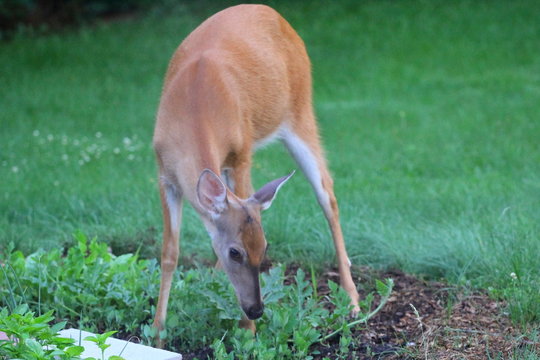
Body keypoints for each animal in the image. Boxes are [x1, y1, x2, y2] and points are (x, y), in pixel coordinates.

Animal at [152, 4, 360, 336]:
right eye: (235, 252)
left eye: (265, 247)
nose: (257, 310)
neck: (194, 109)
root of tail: (274, 12)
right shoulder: (164, 174)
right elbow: (169, 252)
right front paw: (158, 329)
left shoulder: (242, 153)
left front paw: (247, 333)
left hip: (300, 112)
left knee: (327, 194)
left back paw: (352, 301)